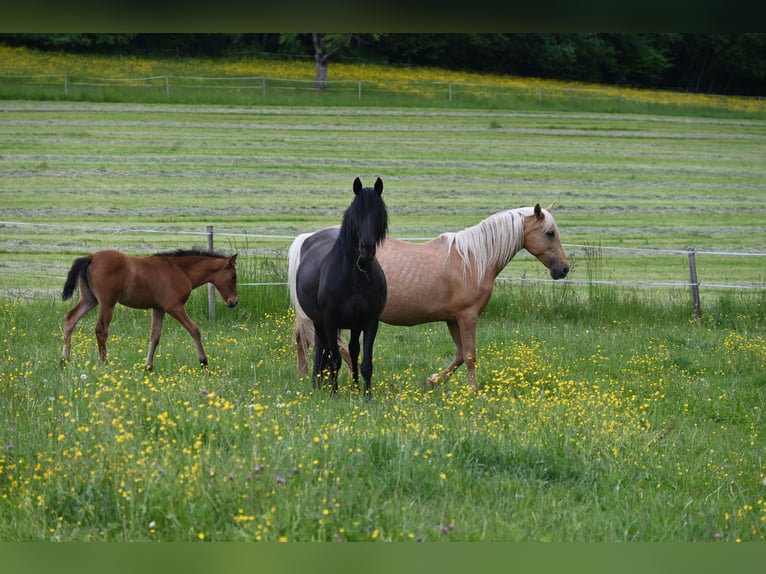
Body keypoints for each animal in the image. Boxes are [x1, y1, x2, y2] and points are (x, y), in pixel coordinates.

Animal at [61, 248, 238, 370]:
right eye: (233, 277)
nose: (233, 302)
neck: (181, 270)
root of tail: (91, 257)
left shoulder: (158, 308)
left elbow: (155, 336)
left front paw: (148, 367)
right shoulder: (174, 307)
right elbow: (194, 330)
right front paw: (204, 363)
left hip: (89, 299)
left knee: (70, 318)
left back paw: (64, 360)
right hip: (107, 302)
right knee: (101, 329)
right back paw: (105, 363)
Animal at [289, 203, 569, 392]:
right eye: (549, 233)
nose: (563, 269)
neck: (473, 259)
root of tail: (309, 239)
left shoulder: (453, 319)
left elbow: (459, 355)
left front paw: (432, 381)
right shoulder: (467, 316)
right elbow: (470, 356)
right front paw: (474, 392)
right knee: (333, 345)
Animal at [290, 177, 388, 395]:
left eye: (379, 213)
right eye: (356, 214)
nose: (367, 248)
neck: (355, 276)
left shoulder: (370, 321)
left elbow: (365, 362)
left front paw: (366, 395)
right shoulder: (330, 319)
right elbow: (335, 360)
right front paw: (334, 393)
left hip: (351, 324)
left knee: (349, 349)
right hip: (320, 321)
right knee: (323, 347)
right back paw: (319, 383)